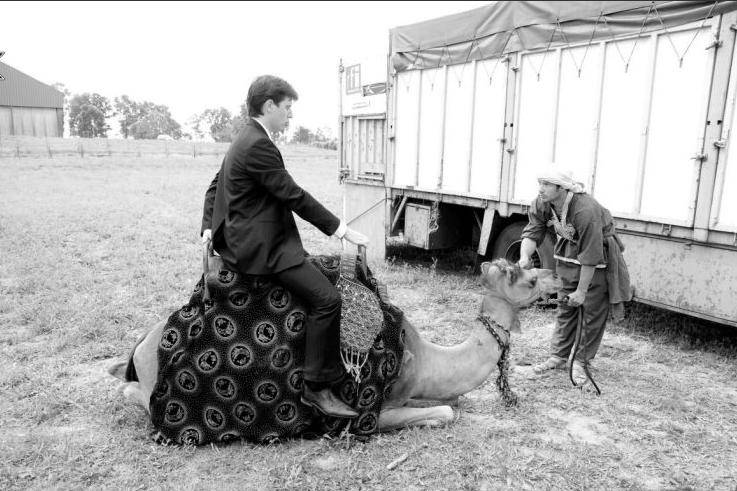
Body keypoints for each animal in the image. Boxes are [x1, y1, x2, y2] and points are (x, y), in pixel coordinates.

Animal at [108, 258, 556, 434]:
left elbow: (452, 401)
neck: (423, 357)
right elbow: (446, 411)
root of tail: (144, 342)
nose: (557, 278)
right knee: (132, 391)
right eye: (531, 278)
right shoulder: (377, 407)